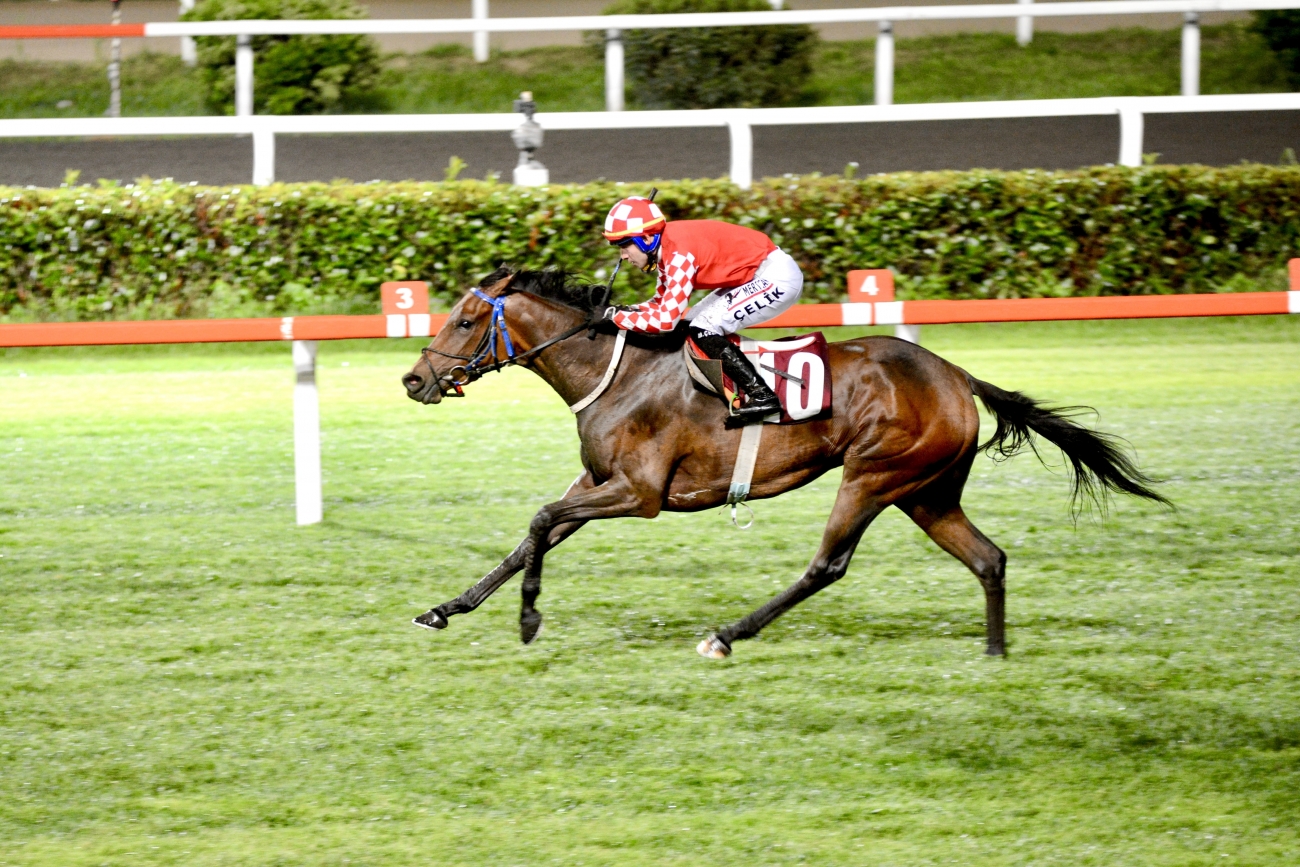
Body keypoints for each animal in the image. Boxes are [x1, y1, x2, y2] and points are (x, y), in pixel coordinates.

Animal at [397, 267, 1170, 655]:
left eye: (465, 319)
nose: (413, 380)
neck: (616, 370)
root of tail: (956, 375)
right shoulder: (599, 480)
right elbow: (531, 536)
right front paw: (445, 609)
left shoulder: (638, 493)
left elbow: (538, 519)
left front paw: (528, 620)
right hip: (927, 491)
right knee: (989, 558)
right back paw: (995, 653)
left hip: (874, 475)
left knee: (828, 565)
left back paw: (727, 635)